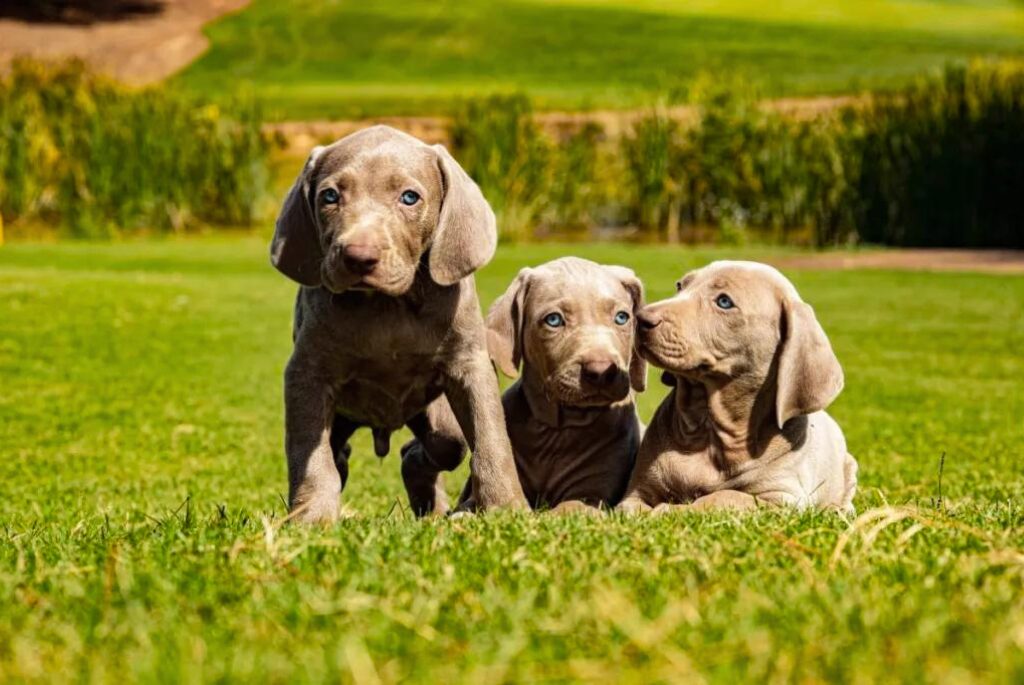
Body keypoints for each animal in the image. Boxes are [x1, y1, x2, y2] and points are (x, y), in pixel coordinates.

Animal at [270, 124, 524, 524]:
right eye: (330, 196)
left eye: (409, 198)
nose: (358, 256)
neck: (387, 306)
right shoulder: (306, 373)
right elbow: (310, 454)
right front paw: (312, 515)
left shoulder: (469, 364)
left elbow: (490, 438)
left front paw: (505, 505)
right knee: (338, 450)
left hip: (440, 418)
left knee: (436, 446)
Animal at [407, 258, 647, 511]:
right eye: (554, 320)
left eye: (622, 317)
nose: (601, 371)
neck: (557, 430)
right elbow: (468, 509)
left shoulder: (591, 495)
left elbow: (565, 509)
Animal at [618, 262, 860, 511]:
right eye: (680, 286)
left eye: (724, 302)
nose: (639, 319)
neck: (708, 429)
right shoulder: (635, 494)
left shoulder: (782, 499)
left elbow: (724, 496)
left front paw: (670, 509)